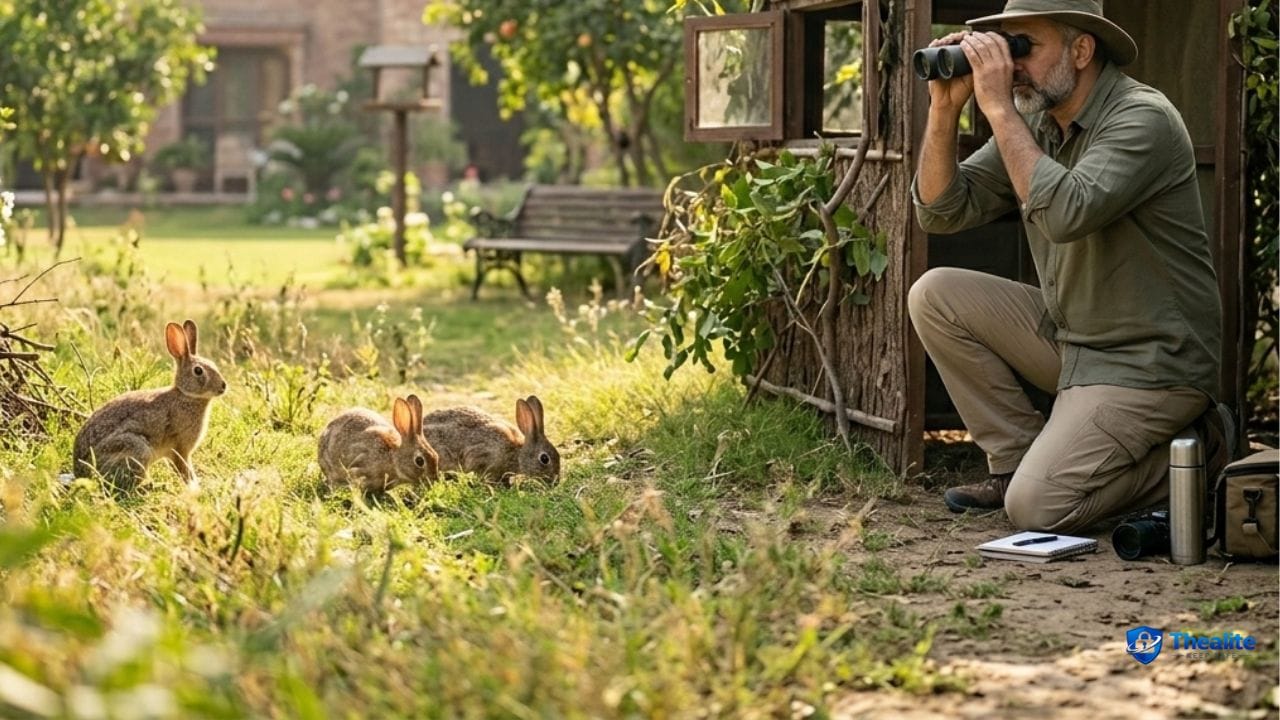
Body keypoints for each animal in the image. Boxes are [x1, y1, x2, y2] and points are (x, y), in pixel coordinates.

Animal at [73, 319, 227, 490]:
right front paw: (194, 487)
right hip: (136, 449)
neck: (186, 395)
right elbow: (184, 469)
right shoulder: (181, 448)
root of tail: (81, 473)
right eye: (198, 371)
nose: (223, 386)